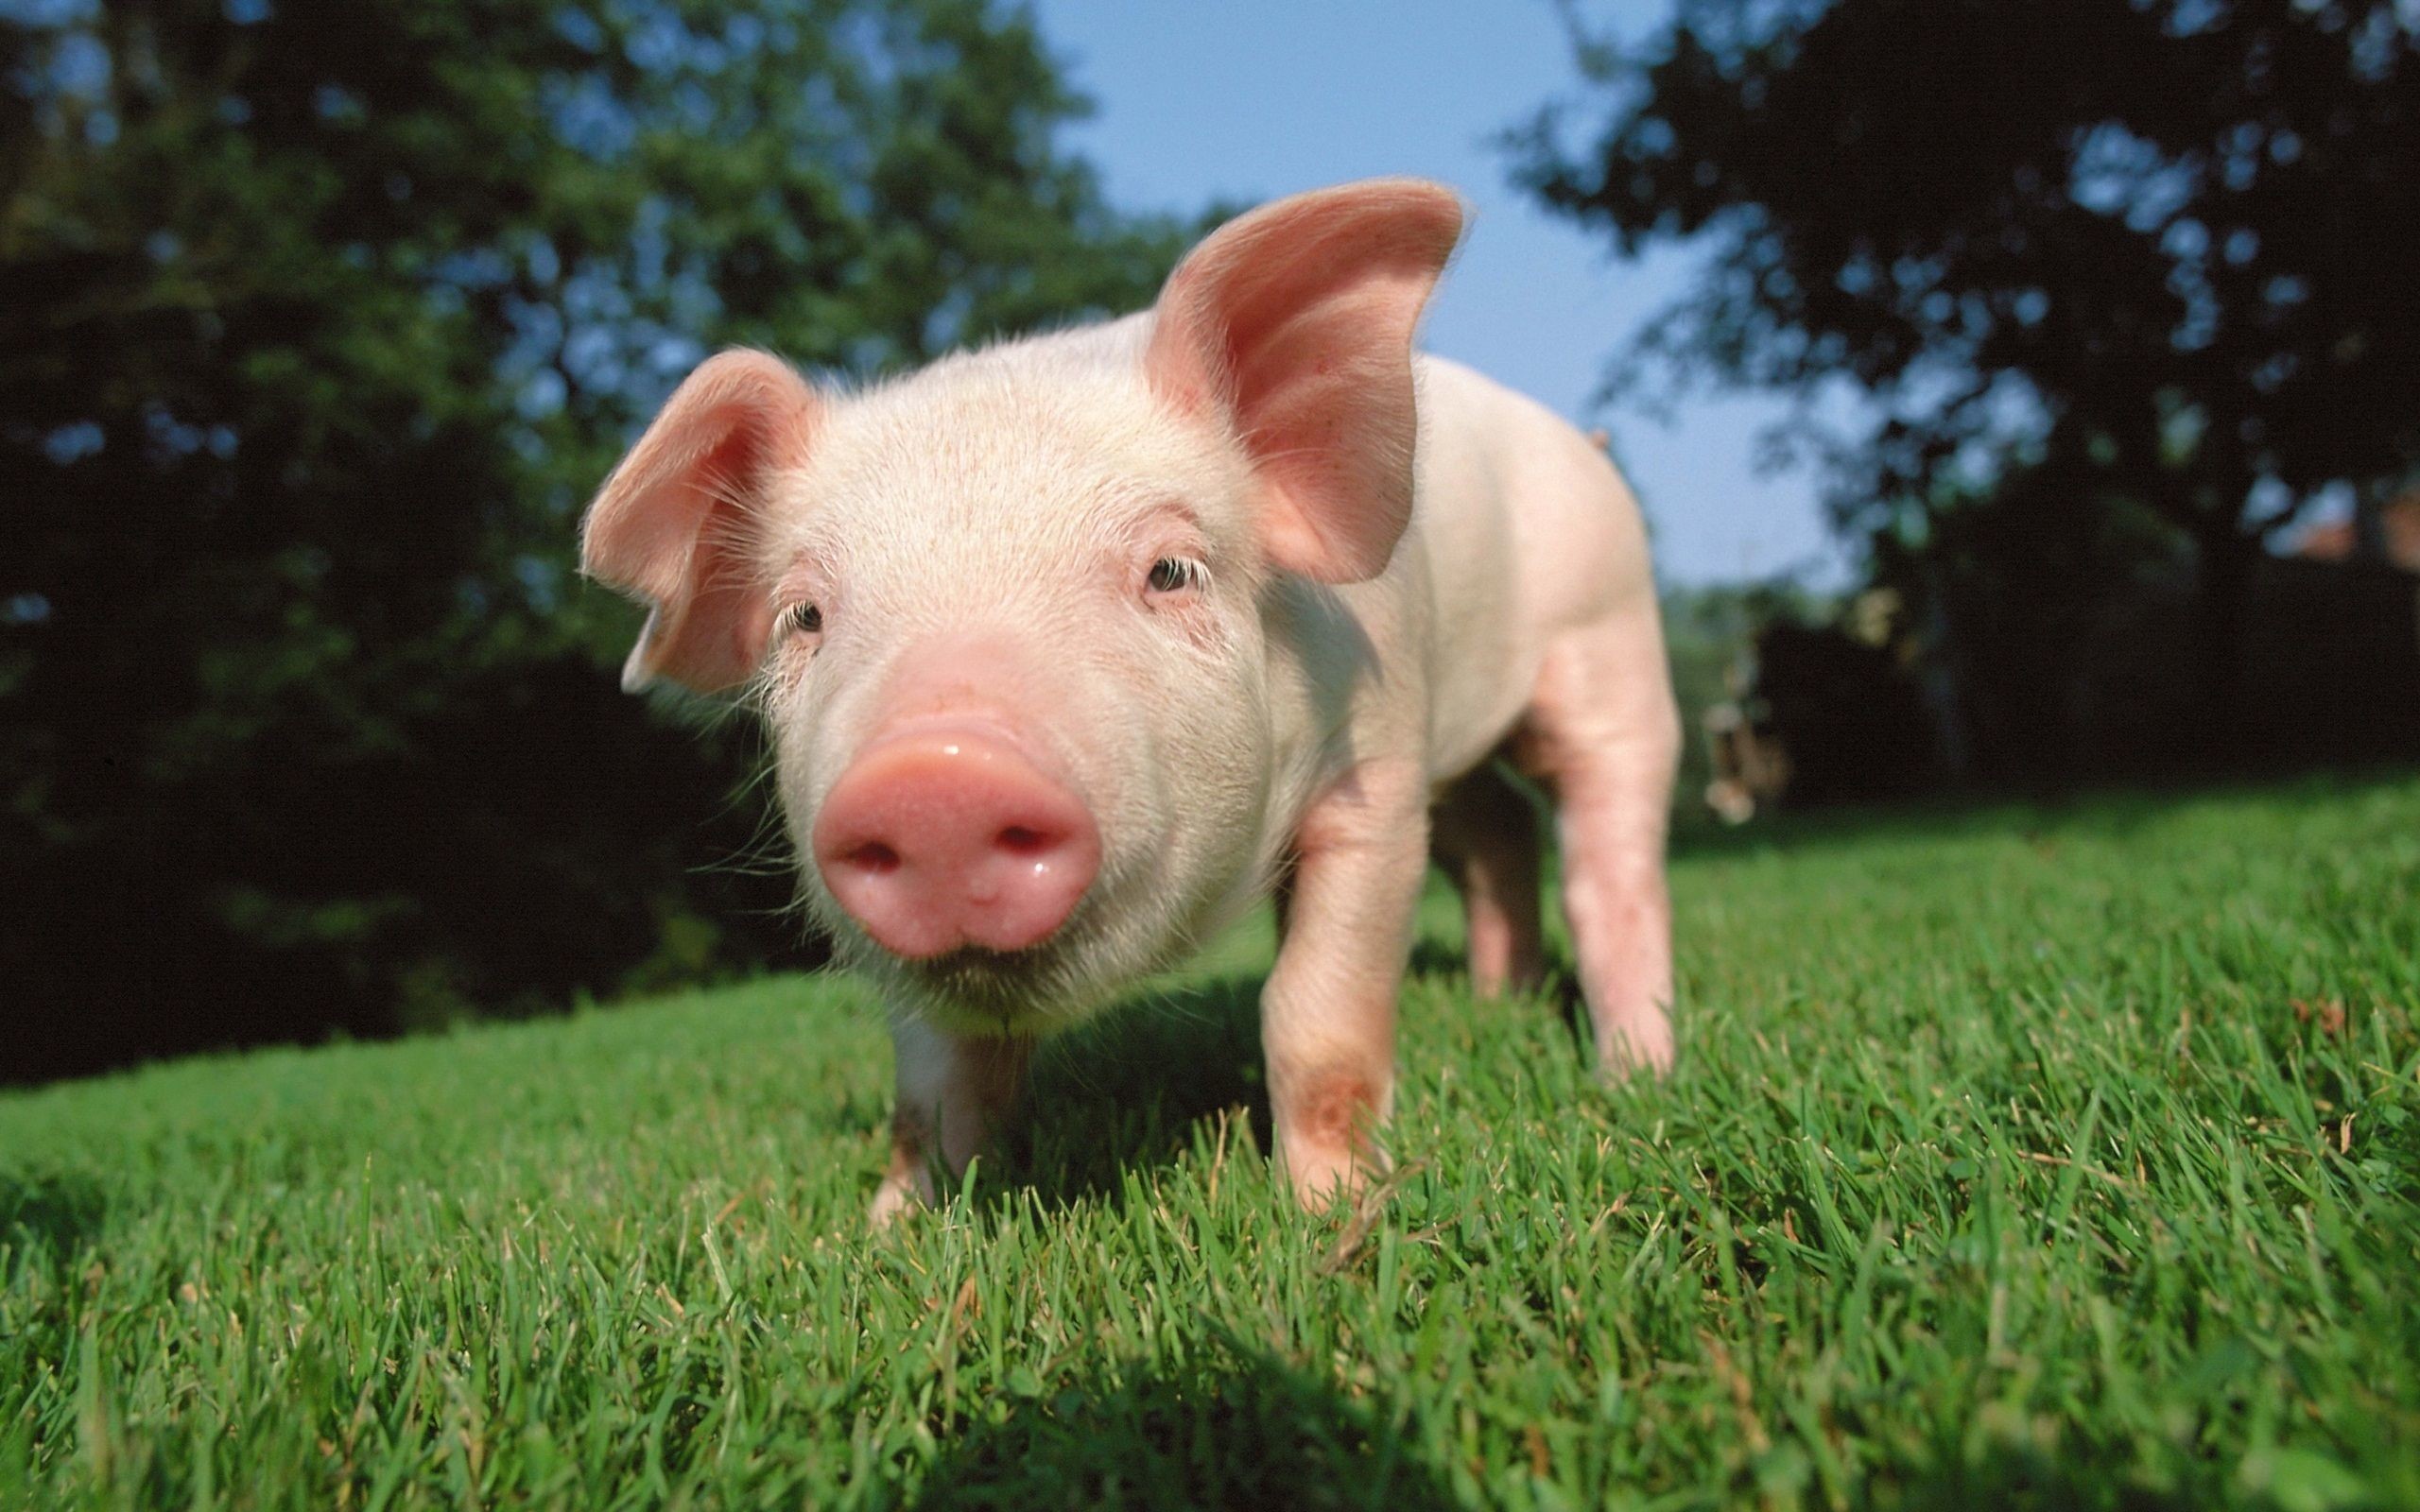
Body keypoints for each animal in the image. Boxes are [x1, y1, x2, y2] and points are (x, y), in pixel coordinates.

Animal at [579, 179, 1679, 1220]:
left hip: (1611, 635)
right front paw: (888, 1231)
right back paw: (1499, 1007)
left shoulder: (1377, 770)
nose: (936, 777)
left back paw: (1635, 1075)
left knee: (1606, 851)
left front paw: (1332, 1214)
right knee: (1498, 834)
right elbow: (932, 1084)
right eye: (802, 615)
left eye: (1170, 570)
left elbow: (1315, 1014)